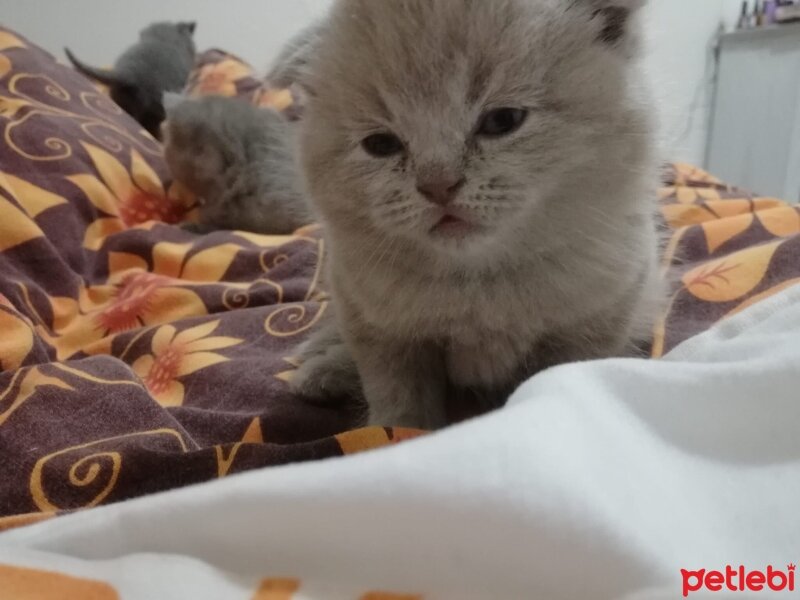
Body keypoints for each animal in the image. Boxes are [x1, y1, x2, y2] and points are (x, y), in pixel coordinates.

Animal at [284, 0, 660, 432]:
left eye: (502, 121)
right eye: (380, 144)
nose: (438, 186)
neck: (478, 286)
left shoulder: (597, 321)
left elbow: (562, 379)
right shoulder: (376, 326)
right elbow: (397, 402)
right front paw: (398, 430)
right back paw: (322, 371)